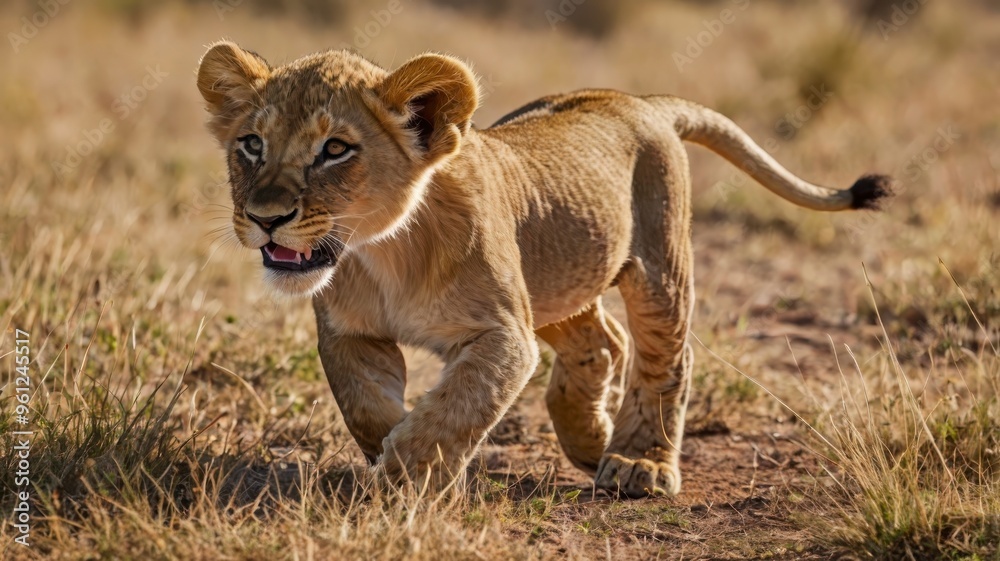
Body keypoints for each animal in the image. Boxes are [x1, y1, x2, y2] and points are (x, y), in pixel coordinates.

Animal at [196, 42, 891, 497]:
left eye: (335, 150)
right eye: (251, 144)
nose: (264, 218)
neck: (382, 250)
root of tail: (636, 101)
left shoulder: (502, 333)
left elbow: (455, 407)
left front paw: (404, 482)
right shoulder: (351, 334)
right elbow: (367, 408)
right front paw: (398, 462)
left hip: (655, 266)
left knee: (665, 356)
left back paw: (638, 464)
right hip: (556, 280)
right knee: (603, 341)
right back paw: (587, 437)